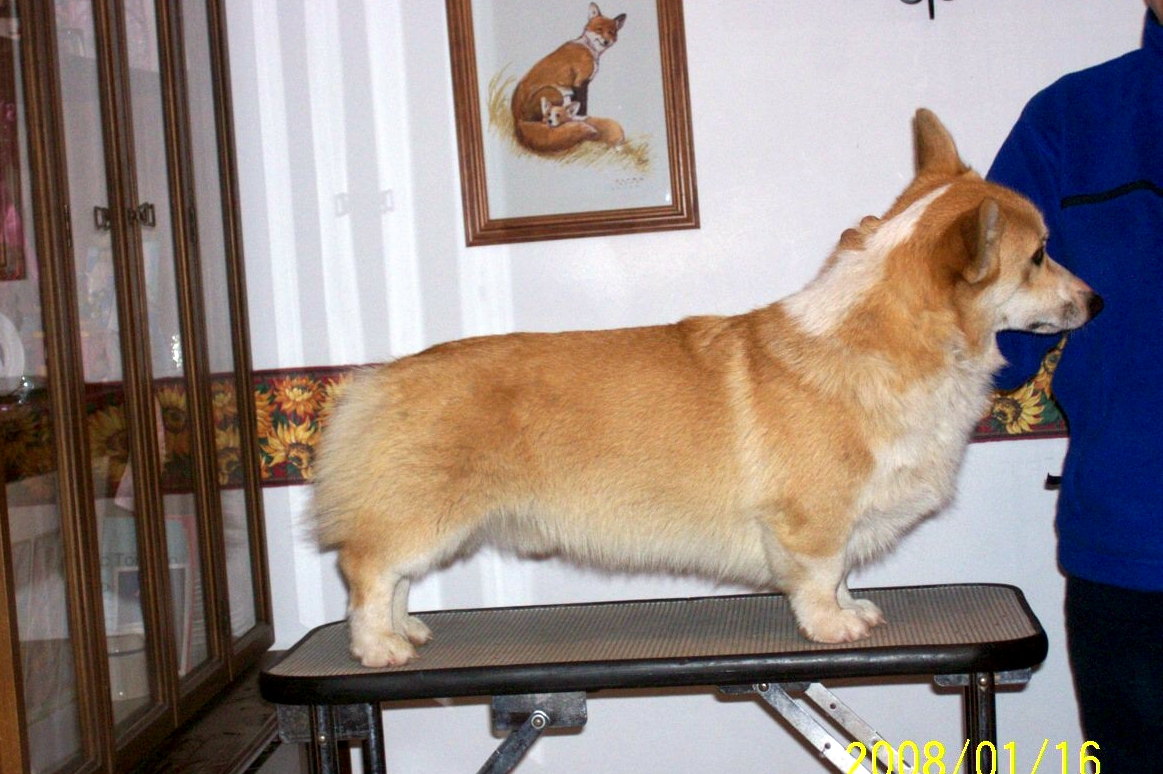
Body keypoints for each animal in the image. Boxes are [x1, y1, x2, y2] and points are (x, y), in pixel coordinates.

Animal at [315, 110, 1102, 668]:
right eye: (1038, 256)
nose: (1096, 302)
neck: (889, 340)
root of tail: (379, 379)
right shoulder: (811, 521)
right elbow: (819, 577)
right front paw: (833, 628)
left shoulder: (844, 522)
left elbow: (843, 573)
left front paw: (856, 610)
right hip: (427, 516)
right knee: (367, 569)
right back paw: (378, 647)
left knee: (393, 578)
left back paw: (408, 629)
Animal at [511, 3, 626, 153]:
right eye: (599, 29)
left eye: (612, 32)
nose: (606, 41)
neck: (589, 48)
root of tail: (516, 119)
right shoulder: (580, 82)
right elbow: (583, 106)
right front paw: (581, 117)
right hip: (555, 92)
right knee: (543, 119)